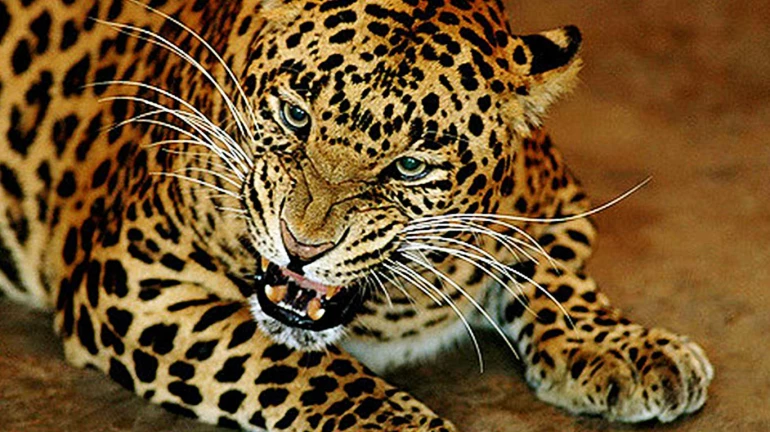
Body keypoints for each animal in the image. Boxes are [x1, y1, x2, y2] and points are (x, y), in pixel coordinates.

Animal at [0, 0, 714, 430]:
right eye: (295, 116)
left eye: (411, 167)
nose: (300, 246)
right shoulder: (133, 275)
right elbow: (294, 364)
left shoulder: (557, 199)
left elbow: (556, 275)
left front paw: (625, 349)